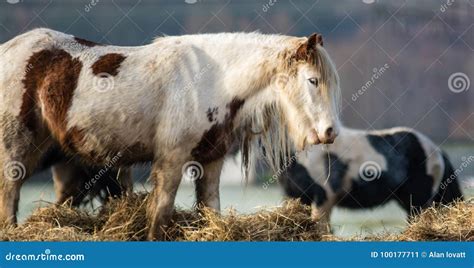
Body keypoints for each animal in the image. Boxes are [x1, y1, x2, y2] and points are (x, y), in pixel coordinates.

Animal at [0, 28, 340, 239]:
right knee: (9, 196)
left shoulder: (211, 162)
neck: (214, 80)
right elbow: (161, 215)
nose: (330, 131)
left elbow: (210, 210)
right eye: (312, 80)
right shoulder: (171, 160)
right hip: (16, 152)